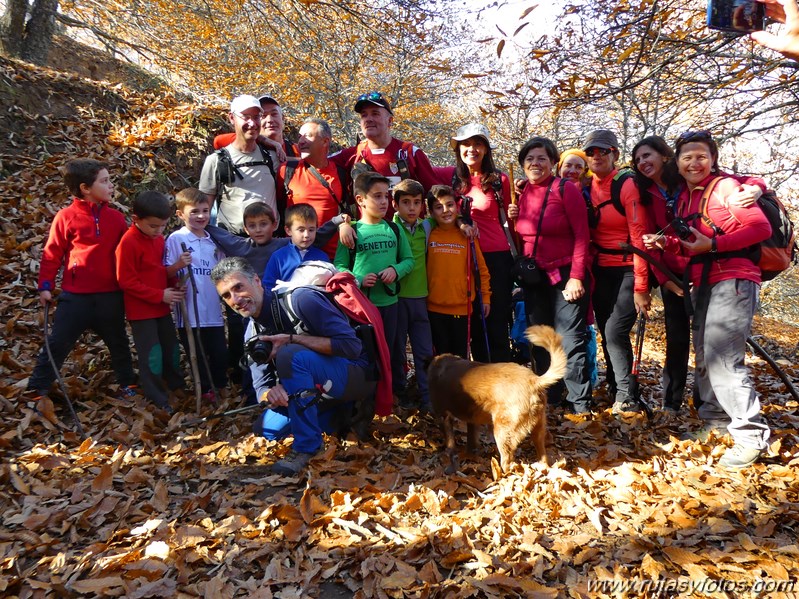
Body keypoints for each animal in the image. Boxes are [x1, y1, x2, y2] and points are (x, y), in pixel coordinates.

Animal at [428, 326, 564, 476]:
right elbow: (471, 439)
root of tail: (534, 381)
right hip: (538, 430)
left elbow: (451, 448)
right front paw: (470, 454)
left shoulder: (444, 417)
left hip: (502, 432)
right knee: (543, 457)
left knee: (507, 463)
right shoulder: (471, 419)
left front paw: (451, 467)